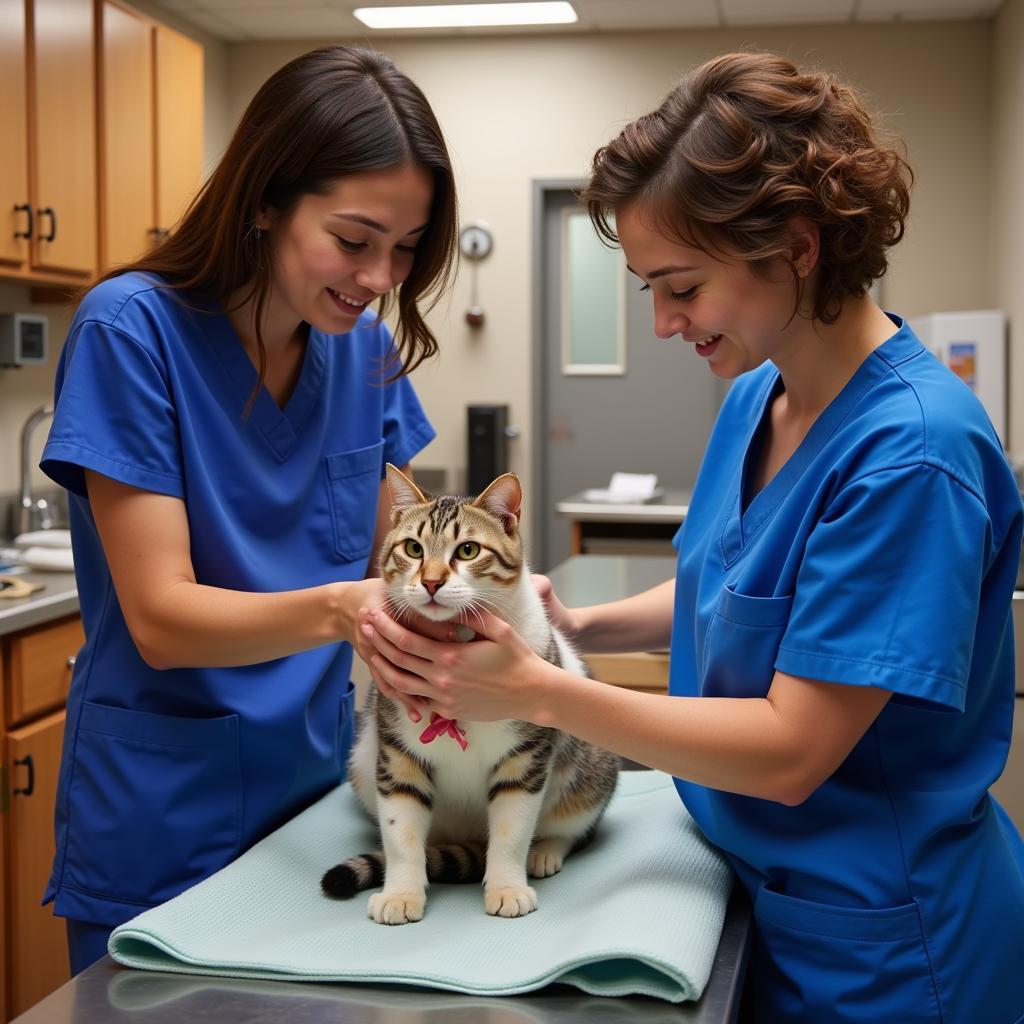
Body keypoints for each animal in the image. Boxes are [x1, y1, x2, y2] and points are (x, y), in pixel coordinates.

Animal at [323, 466, 618, 929]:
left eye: (467, 550)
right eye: (413, 548)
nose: (430, 581)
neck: (457, 641)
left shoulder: (526, 757)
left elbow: (512, 833)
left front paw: (507, 887)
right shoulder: (398, 755)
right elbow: (401, 834)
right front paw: (401, 892)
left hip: (592, 770)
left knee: (569, 825)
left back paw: (546, 851)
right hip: (361, 764)